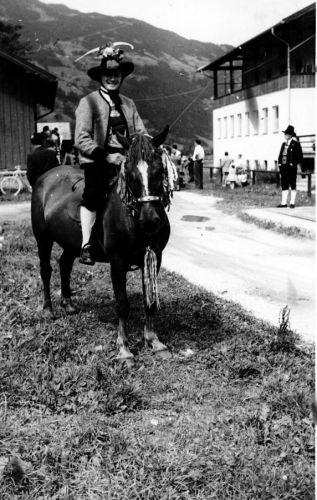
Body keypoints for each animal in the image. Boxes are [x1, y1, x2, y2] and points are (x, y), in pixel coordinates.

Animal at [30, 127, 172, 366]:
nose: (150, 220)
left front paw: (154, 341)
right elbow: (122, 305)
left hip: (71, 244)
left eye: (160, 170)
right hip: (43, 238)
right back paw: (48, 309)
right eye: (130, 174)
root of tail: (46, 177)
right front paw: (124, 349)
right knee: (46, 270)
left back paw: (67, 303)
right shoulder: (117, 261)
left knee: (64, 264)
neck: (131, 215)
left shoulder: (155, 258)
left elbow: (149, 301)